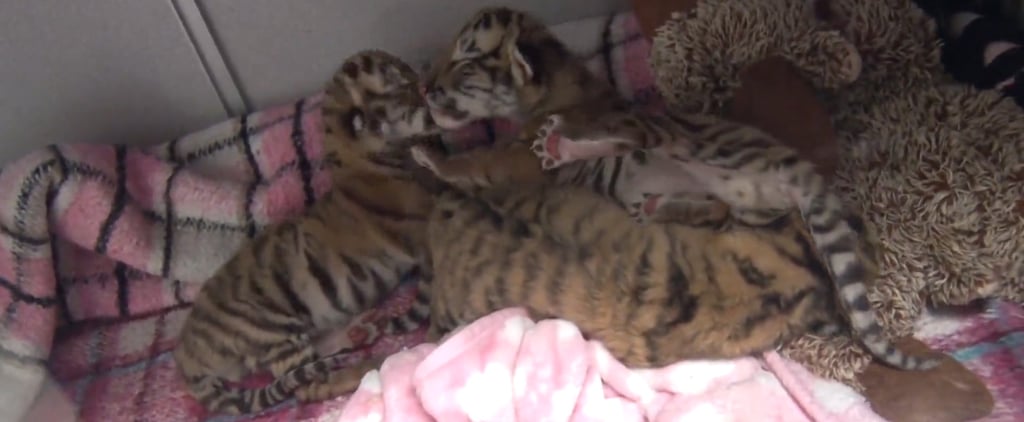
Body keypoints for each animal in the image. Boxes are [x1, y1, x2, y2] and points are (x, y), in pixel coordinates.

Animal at [171, 49, 442, 416]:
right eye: (401, 82)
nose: (428, 78)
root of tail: (186, 355)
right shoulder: (421, 226)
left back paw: (362, 331)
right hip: (276, 331)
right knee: (310, 386)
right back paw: (374, 364)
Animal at [413, 6, 940, 371]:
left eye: (466, 57)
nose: (424, 88)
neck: (554, 92)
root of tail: (805, 175)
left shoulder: (520, 160)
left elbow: (481, 159)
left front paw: (430, 156)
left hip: (680, 135)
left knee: (636, 136)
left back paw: (566, 145)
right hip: (747, 209)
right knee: (715, 210)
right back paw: (656, 203)